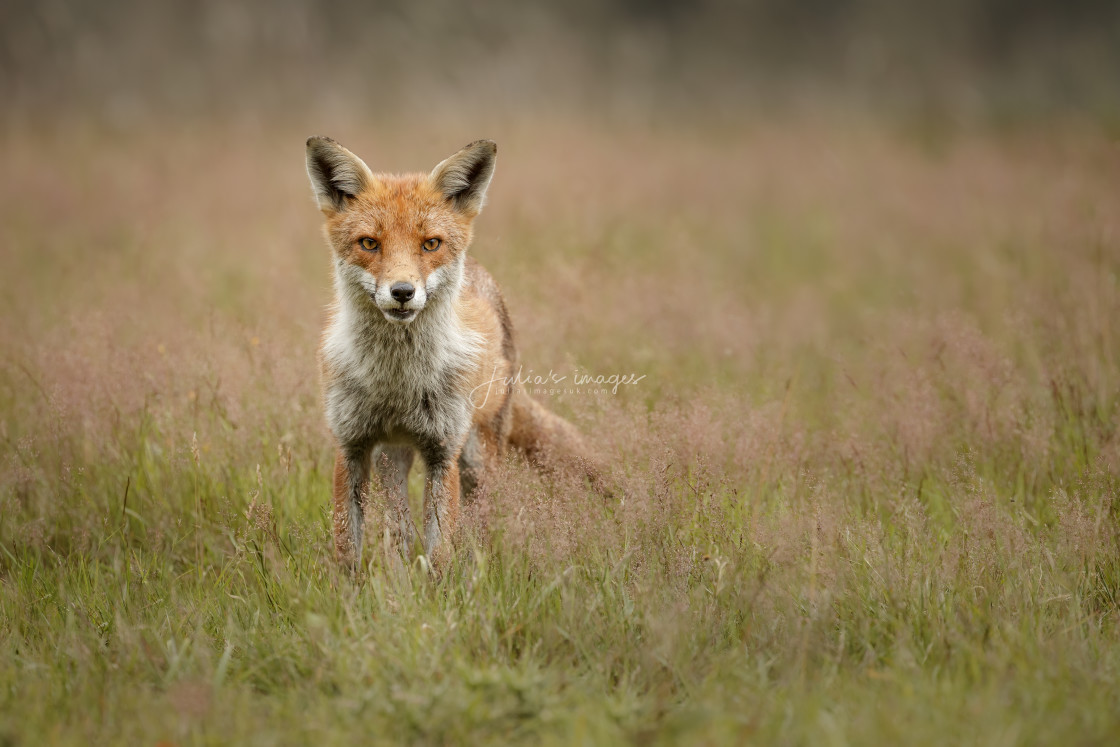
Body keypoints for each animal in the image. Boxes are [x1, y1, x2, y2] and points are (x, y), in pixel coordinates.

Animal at [304, 137, 604, 568]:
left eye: (431, 244)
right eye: (369, 243)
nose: (402, 292)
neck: (398, 382)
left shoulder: (443, 451)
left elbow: (441, 551)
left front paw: (440, 585)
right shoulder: (351, 445)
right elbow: (347, 548)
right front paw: (351, 588)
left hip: (477, 457)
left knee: (475, 529)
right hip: (391, 458)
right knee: (399, 530)